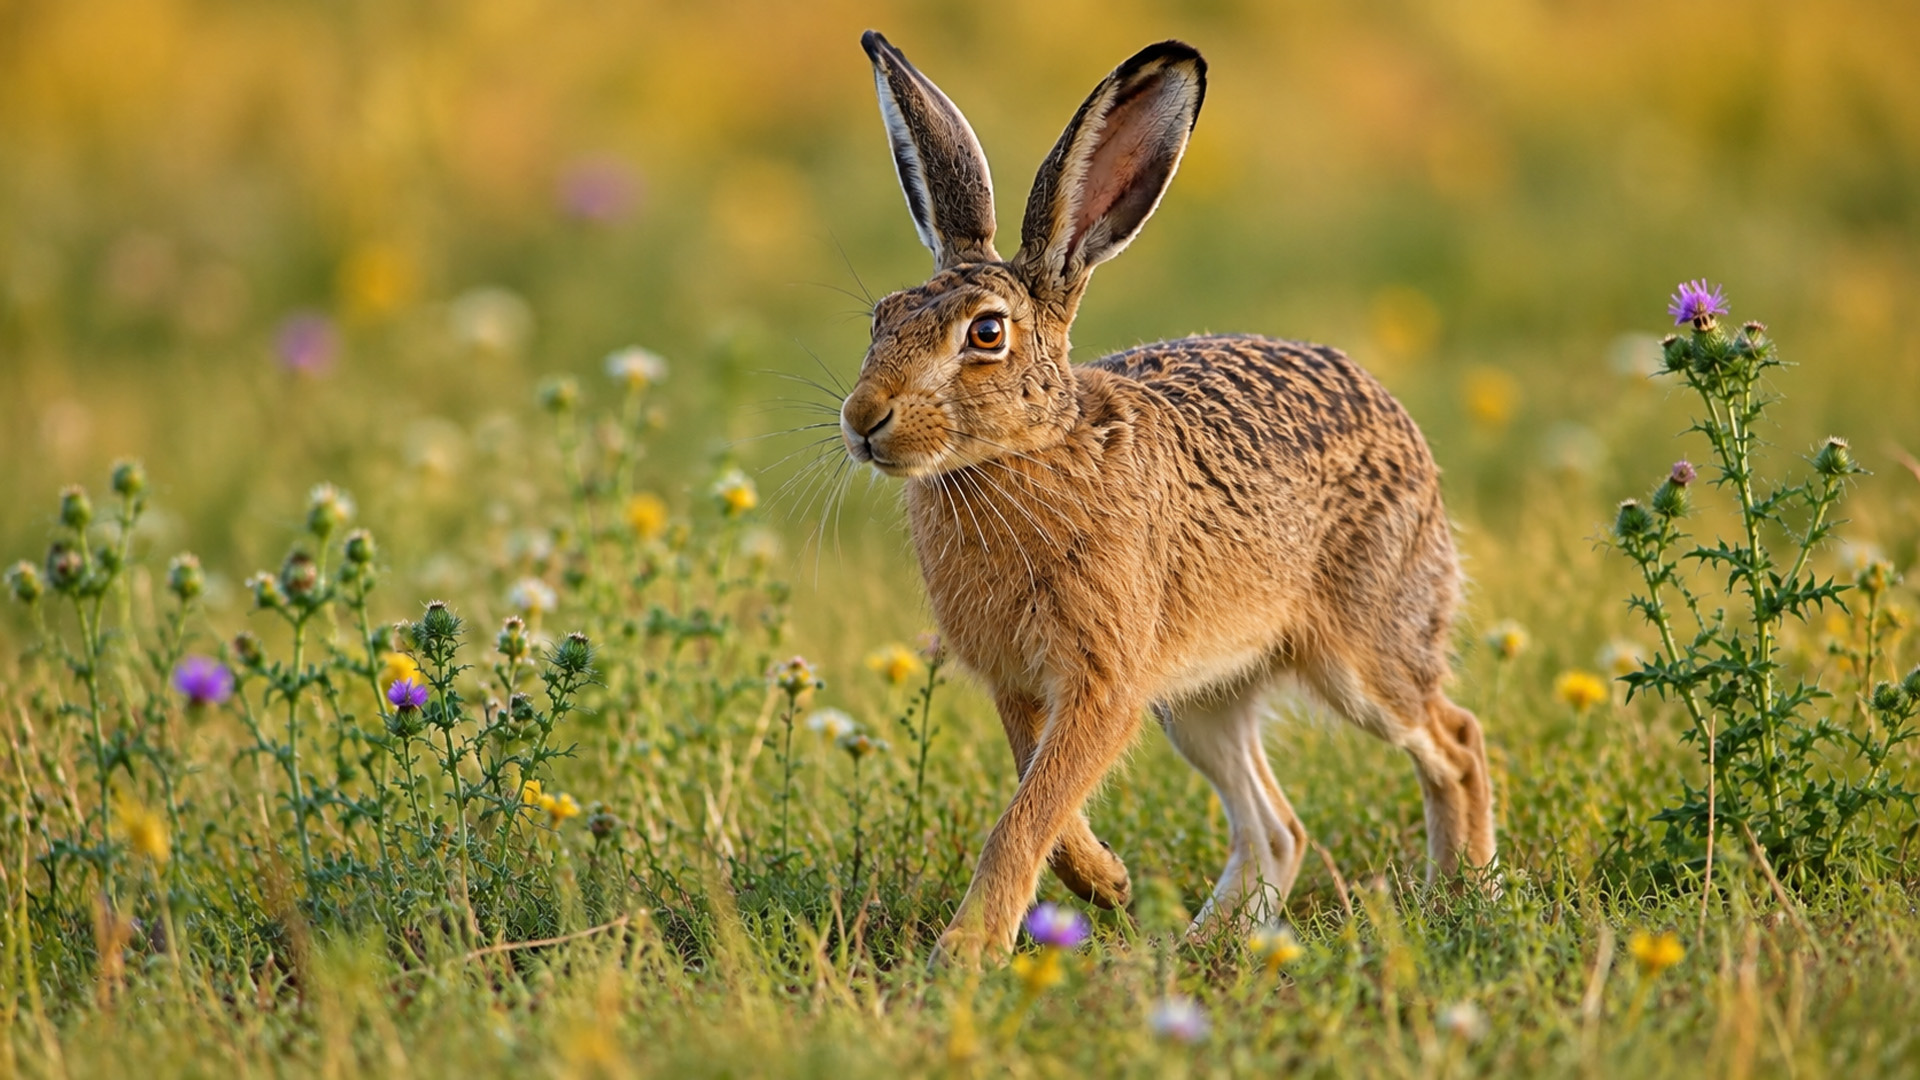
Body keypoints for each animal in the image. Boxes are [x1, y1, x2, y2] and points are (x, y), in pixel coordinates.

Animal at [842, 30, 1496, 964]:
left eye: (987, 333)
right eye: (881, 319)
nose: (863, 420)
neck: (1031, 450)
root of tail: (1401, 424)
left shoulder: (1104, 680)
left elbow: (1026, 814)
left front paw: (966, 953)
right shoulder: (1026, 685)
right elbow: (1038, 796)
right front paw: (1105, 879)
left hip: (1361, 652)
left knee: (1455, 739)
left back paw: (1461, 895)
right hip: (1201, 697)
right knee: (1278, 826)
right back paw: (1201, 946)